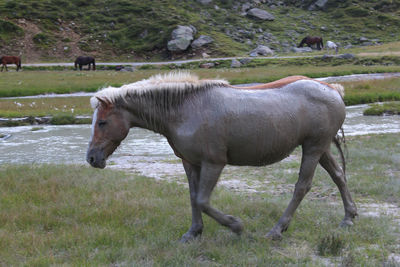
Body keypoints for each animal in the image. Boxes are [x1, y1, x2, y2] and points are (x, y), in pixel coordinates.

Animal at [86, 73, 358, 243]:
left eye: (102, 122)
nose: (91, 158)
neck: (184, 110)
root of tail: (333, 90)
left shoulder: (213, 163)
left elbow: (203, 200)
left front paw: (235, 225)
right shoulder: (190, 163)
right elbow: (194, 198)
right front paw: (193, 233)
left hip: (312, 149)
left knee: (302, 186)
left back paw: (277, 230)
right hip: (320, 149)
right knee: (339, 176)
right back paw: (349, 218)